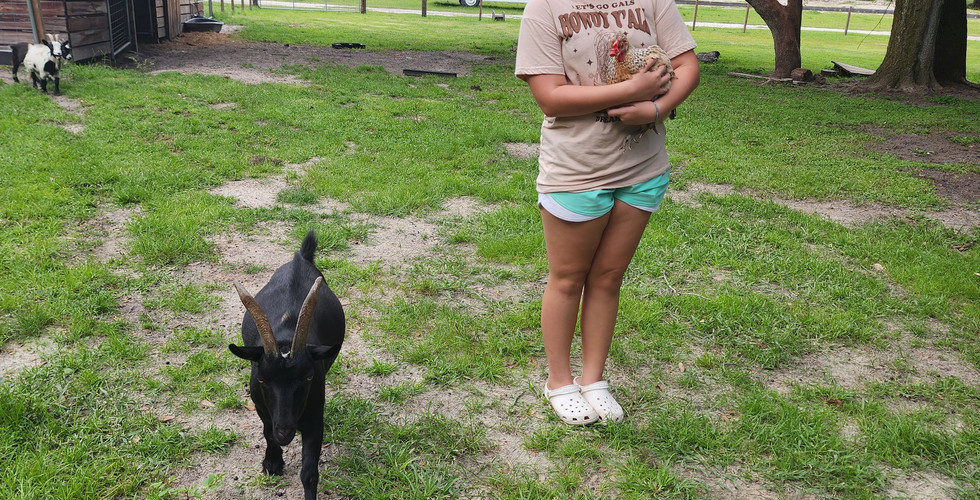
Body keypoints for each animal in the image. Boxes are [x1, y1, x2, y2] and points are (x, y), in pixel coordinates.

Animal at [229, 230, 345, 500]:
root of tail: (300, 259)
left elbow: (309, 473)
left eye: (308, 378)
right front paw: (272, 463)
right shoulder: (262, 407)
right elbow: (266, 432)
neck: (284, 337)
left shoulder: (315, 416)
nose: (285, 432)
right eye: (262, 379)